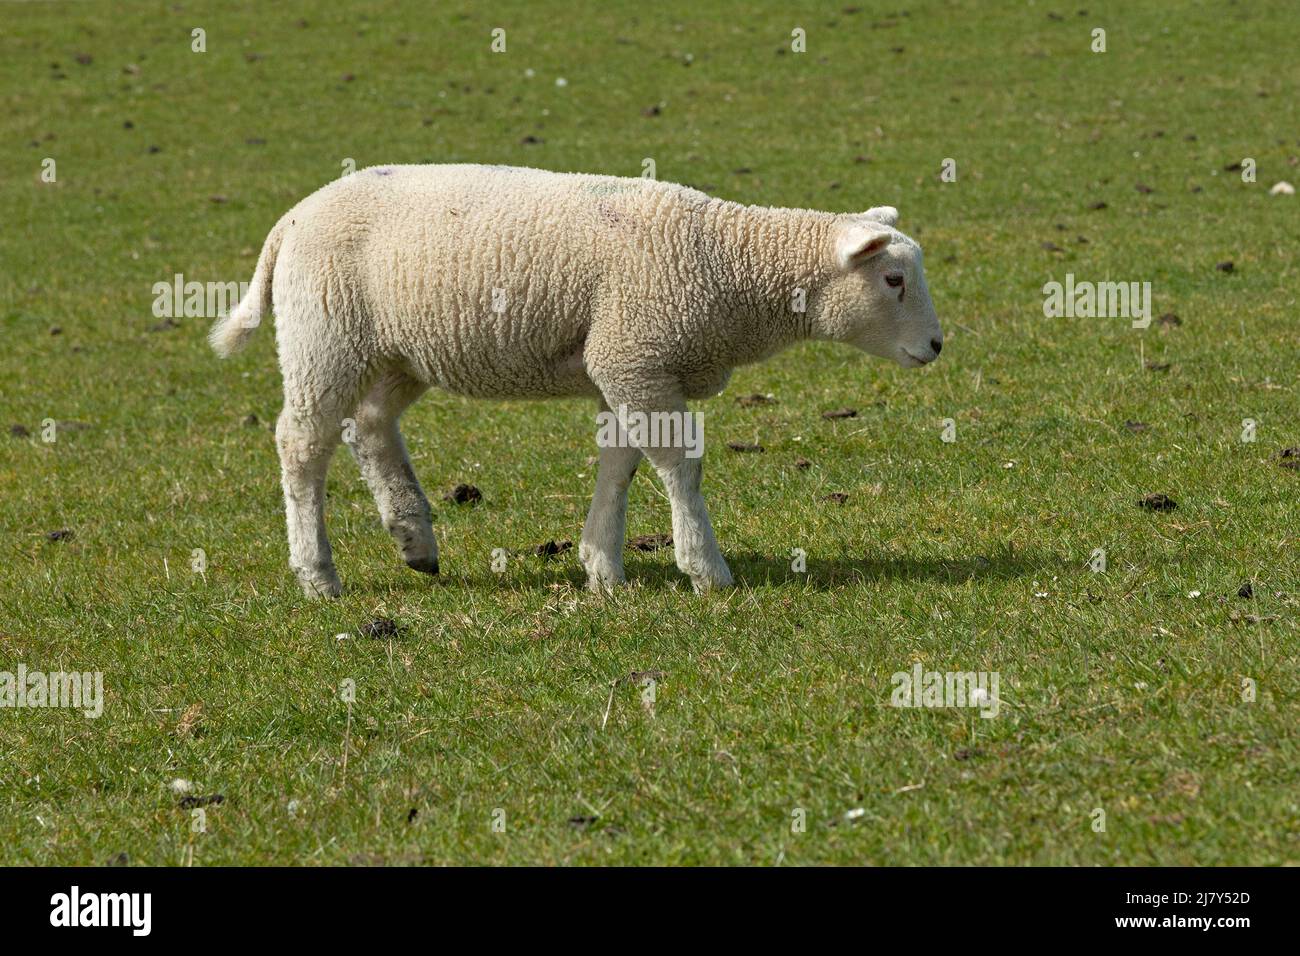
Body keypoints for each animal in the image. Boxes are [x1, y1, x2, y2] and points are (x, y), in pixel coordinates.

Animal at [213, 165, 946, 598]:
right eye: (893, 280)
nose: (937, 346)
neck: (727, 264)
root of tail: (293, 218)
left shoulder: (624, 367)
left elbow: (620, 466)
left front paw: (602, 567)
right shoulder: (637, 357)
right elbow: (680, 467)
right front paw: (705, 569)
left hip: (399, 350)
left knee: (369, 425)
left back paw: (413, 537)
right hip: (324, 338)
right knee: (302, 445)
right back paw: (317, 573)